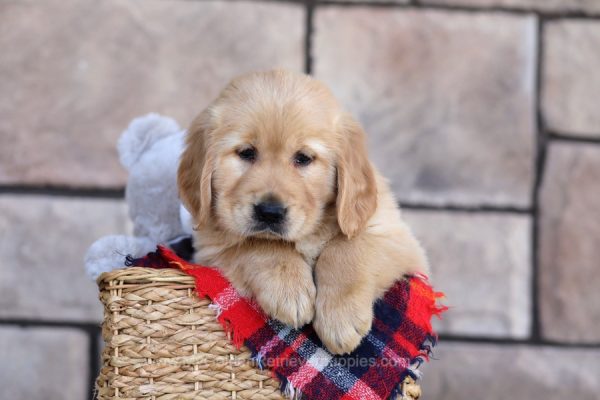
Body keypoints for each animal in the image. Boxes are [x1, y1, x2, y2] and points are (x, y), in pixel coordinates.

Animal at [177, 69, 426, 354]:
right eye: (246, 153)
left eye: (303, 158)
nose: (269, 212)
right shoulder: (210, 250)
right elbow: (259, 244)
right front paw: (289, 291)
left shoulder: (394, 237)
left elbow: (347, 248)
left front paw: (341, 318)